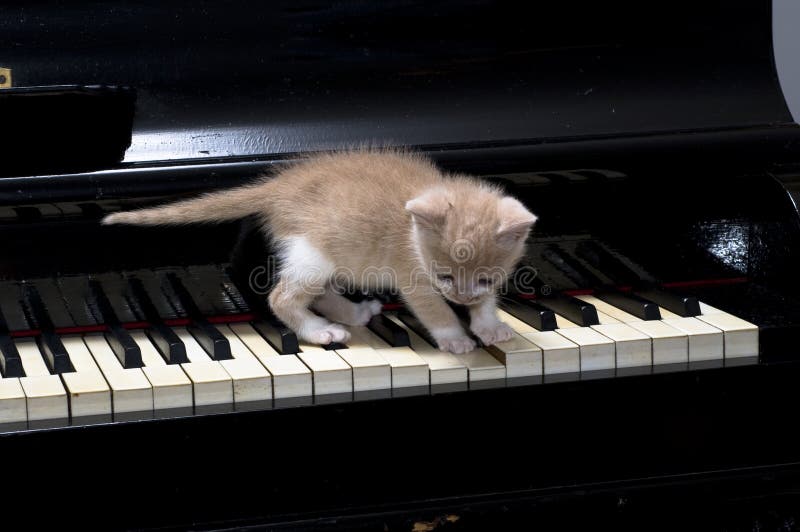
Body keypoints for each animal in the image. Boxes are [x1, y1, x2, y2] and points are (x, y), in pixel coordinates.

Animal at [100, 150, 536, 354]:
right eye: (444, 276)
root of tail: (278, 187)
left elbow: (487, 303)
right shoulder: (412, 274)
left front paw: (487, 324)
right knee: (281, 297)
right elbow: (433, 309)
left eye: (485, 278)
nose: (460, 296)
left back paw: (354, 314)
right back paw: (319, 331)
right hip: (313, 251)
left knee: (322, 292)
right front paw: (456, 337)